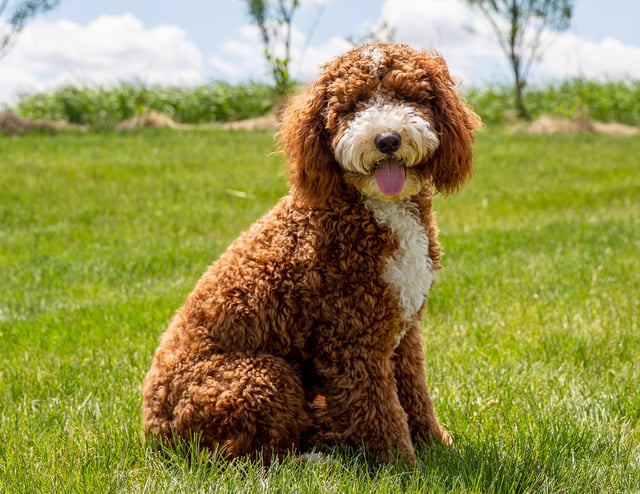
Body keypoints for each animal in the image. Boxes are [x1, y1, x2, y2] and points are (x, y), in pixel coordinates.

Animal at [144, 42, 480, 464]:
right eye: (352, 105)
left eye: (409, 96)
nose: (387, 140)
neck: (375, 207)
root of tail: (153, 432)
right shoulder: (352, 338)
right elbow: (379, 411)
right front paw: (402, 466)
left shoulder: (403, 329)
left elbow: (414, 393)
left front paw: (434, 443)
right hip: (262, 376)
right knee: (244, 456)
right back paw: (318, 459)